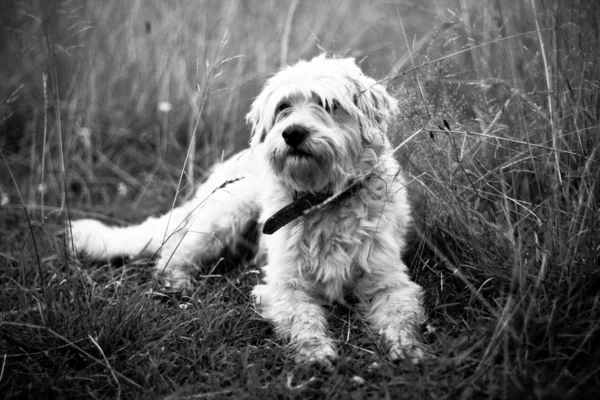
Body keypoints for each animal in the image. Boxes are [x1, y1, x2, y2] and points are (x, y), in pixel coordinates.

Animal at [68, 54, 426, 368]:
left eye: (329, 104)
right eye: (284, 106)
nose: (292, 133)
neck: (323, 199)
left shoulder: (389, 281)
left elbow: (399, 315)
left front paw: (407, 348)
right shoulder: (284, 285)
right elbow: (304, 317)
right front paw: (314, 351)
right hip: (227, 213)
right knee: (174, 251)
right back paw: (177, 281)